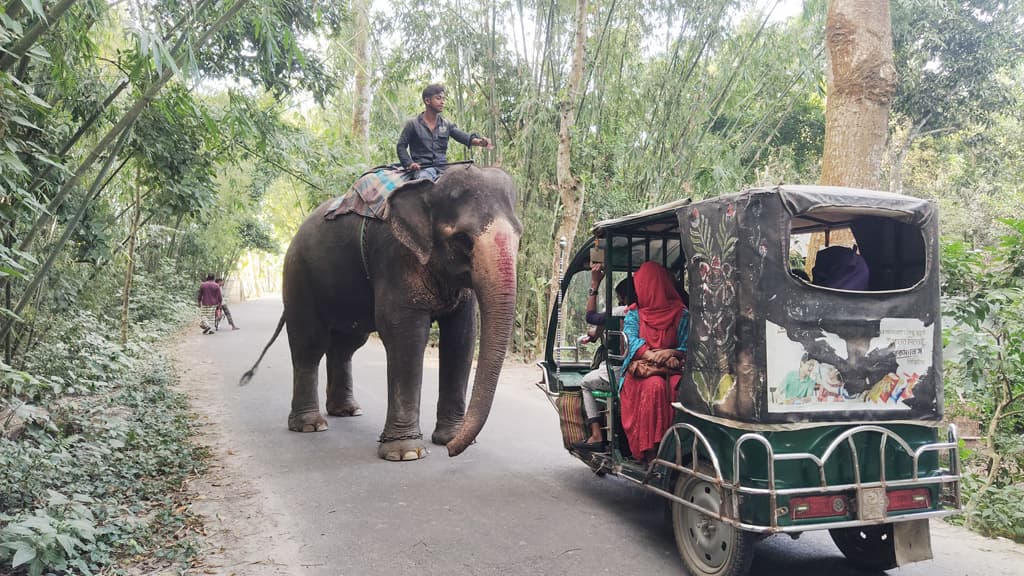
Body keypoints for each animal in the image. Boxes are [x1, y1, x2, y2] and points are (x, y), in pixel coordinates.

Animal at [241, 163, 520, 459]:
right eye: (463, 239)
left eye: (519, 236)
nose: (452, 452)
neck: (430, 186)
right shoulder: (393, 256)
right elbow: (405, 334)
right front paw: (407, 453)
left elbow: (461, 337)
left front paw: (448, 438)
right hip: (298, 276)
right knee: (309, 344)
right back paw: (310, 425)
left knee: (346, 345)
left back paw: (347, 411)